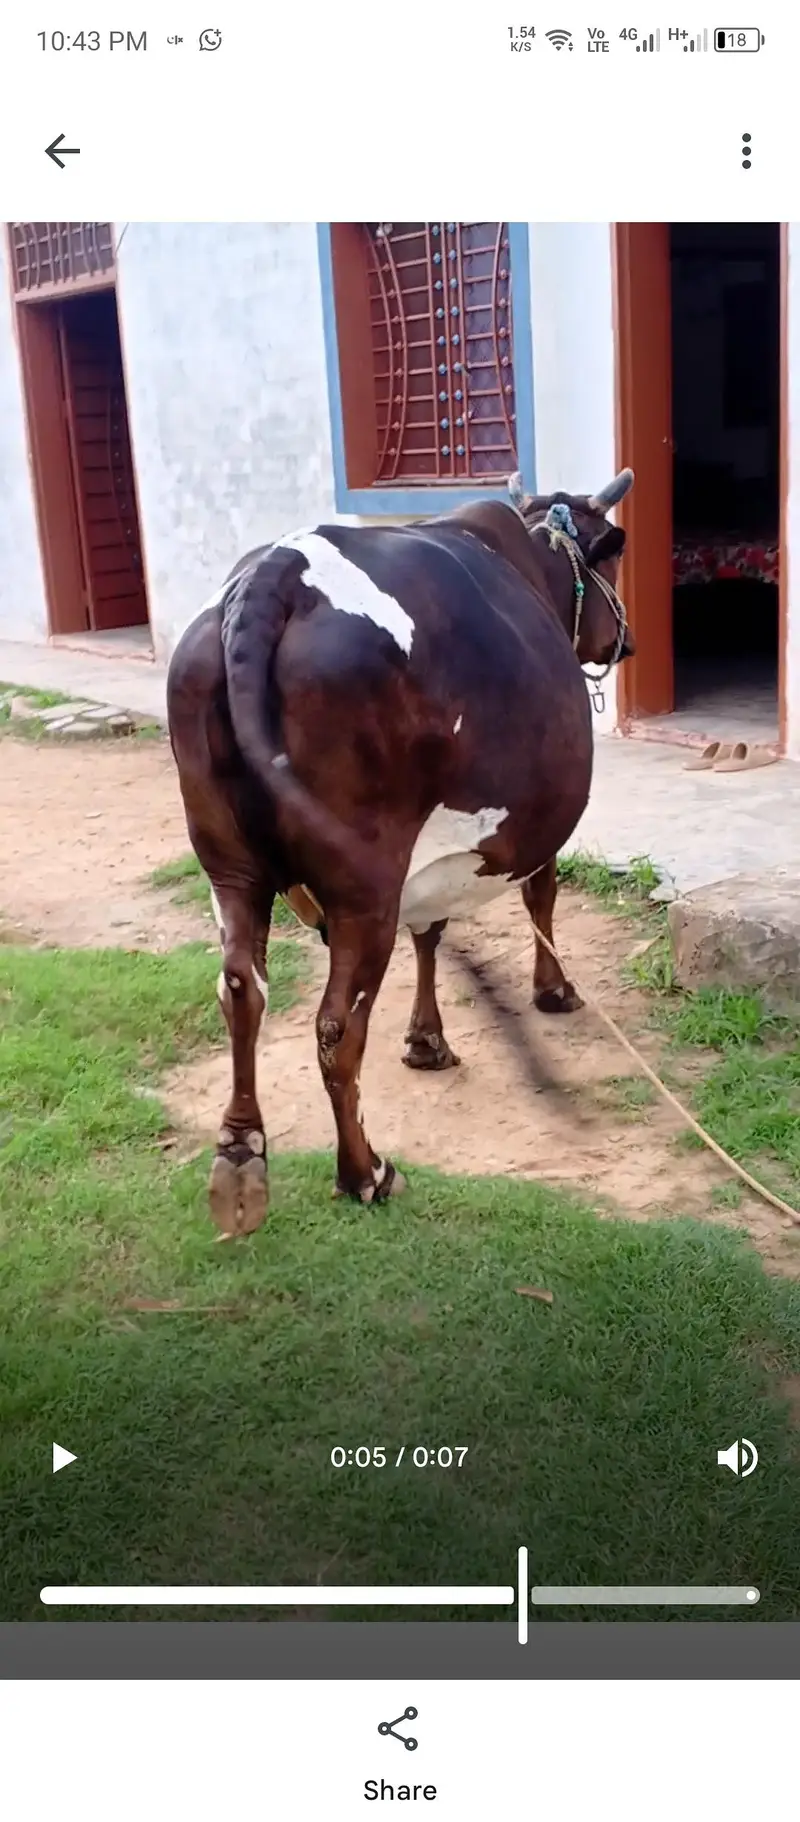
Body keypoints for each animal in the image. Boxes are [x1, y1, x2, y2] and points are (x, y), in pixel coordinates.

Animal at [166, 470, 634, 1236]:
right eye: (610, 560)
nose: (624, 641)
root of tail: (273, 575)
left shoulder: (432, 853)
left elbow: (431, 931)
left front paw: (425, 1041)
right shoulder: (532, 825)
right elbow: (539, 896)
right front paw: (554, 991)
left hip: (227, 865)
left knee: (240, 988)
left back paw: (240, 1155)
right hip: (365, 880)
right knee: (336, 1022)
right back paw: (365, 1173)